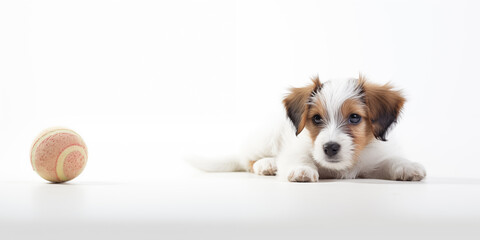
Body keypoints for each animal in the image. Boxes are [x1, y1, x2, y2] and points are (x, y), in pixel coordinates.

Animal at [189, 75, 426, 182]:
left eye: (355, 117)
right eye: (317, 119)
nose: (330, 147)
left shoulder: (373, 158)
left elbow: (391, 160)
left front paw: (408, 166)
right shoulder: (296, 148)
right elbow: (299, 158)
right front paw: (302, 170)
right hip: (265, 138)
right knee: (248, 160)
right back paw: (267, 164)